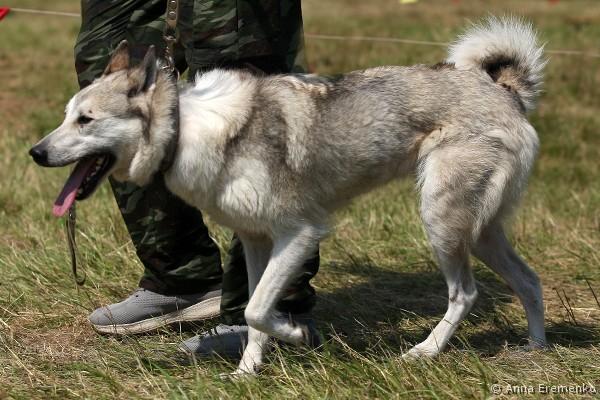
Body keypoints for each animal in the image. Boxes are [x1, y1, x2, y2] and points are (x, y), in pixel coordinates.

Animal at [30, 16, 546, 375]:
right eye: (67, 115)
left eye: (86, 120)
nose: (35, 152)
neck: (184, 131)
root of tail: (503, 89)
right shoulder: (256, 242)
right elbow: (256, 311)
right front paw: (246, 373)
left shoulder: (299, 235)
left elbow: (257, 309)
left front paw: (295, 334)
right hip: (478, 231)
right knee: (529, 281)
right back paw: (535, 349)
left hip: (441, 221)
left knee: (466, 293)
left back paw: (424, 352)